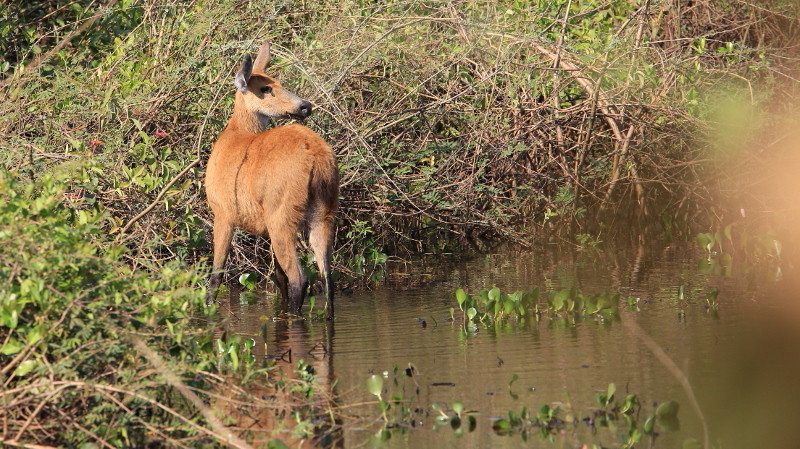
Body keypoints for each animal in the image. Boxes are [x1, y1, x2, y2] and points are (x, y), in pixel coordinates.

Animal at [205, 39, 340, 318]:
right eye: (266, 88)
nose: (305, 106)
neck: (236, 133)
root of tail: (317, 159)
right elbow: (278, 276)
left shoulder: (223, 212)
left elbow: (216, 275)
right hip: (324, 211)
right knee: (326, 277)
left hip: (282, 212)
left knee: (300, 277)